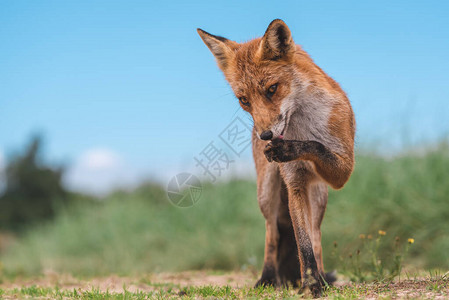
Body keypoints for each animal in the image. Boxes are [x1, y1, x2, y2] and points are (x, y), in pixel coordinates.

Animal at [196, 19, 354, 296]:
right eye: (244, 100)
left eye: (272, 89)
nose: (265, 135)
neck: (301, 128)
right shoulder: (294, 183)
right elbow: (302, 243)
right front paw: (309, 283)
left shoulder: (343, 168)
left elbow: (317, 146)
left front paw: (315, 282)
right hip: (267, 190)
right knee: (272, 233)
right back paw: (269, 278)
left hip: (319, 195)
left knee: (316, 233)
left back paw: (323, 277)